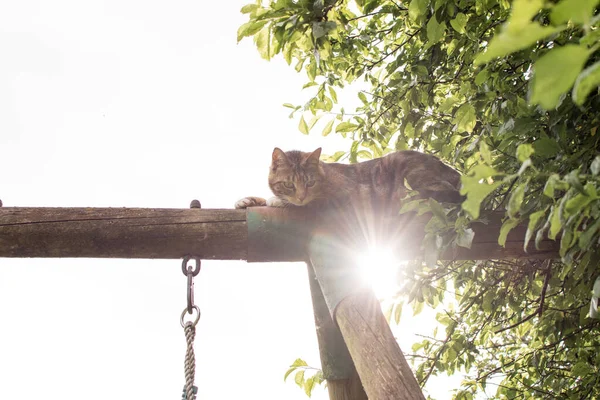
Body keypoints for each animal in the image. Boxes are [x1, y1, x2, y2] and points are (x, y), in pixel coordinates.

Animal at [236, 147, 464, 212]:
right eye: (288, 184)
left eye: (310, 183)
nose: (300, 197)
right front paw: (248, 200)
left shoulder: (342, 197)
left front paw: (277, 201)